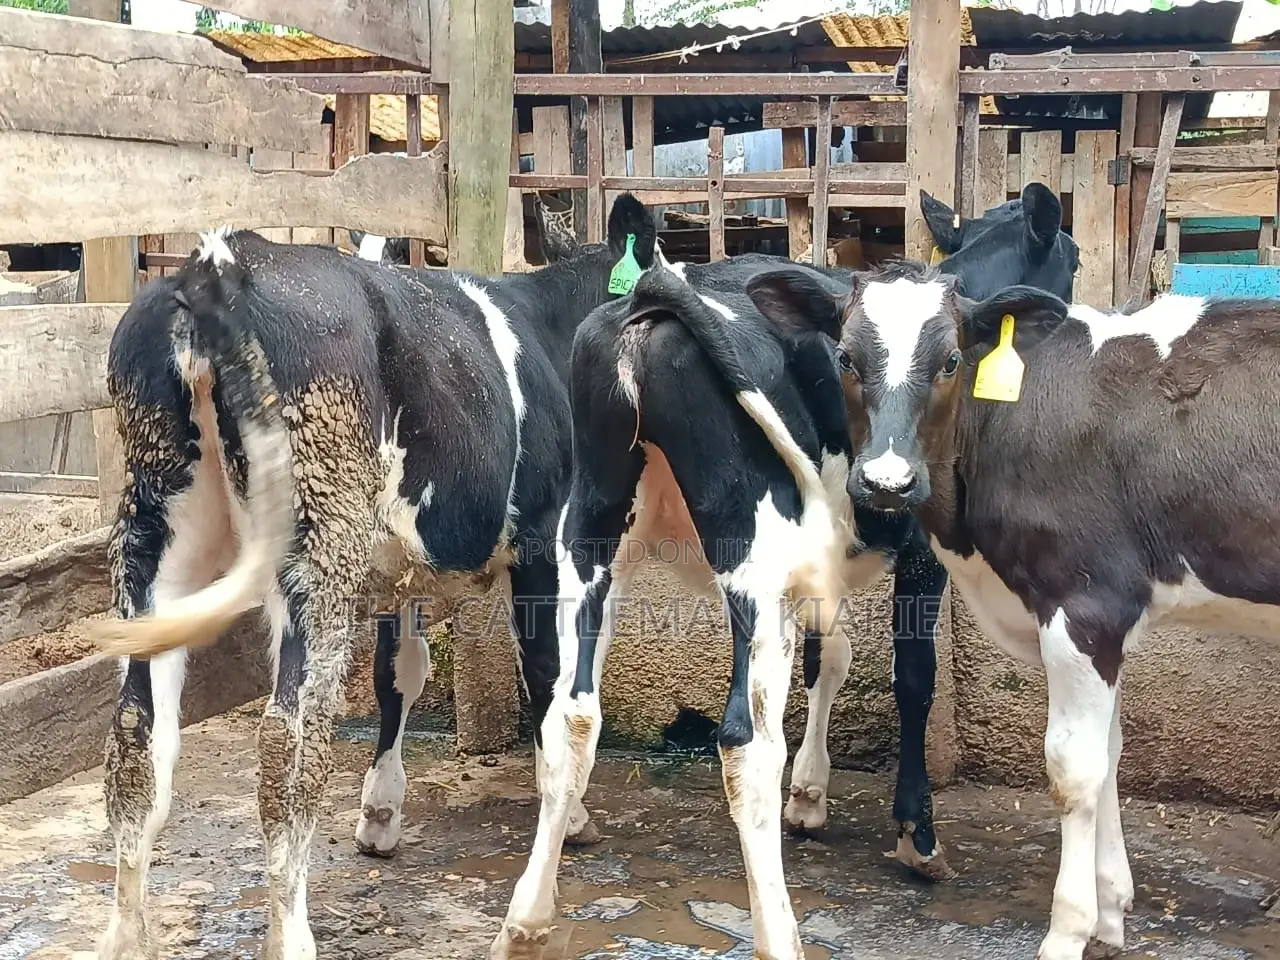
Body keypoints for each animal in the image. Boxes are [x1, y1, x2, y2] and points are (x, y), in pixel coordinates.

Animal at [89, 194, 663, 960]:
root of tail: (215, 264)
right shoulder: (545, 542)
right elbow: (547, 683)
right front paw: (568, 827)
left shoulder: (399, 574)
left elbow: (401, 675)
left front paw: (380, 812)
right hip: (317, 539)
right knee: (288, 735)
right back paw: (292, 934)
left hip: (155, 528)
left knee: (137, 728)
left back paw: (127, 934)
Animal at [491, 183, 1079, 959]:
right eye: (1074, 259)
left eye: (948, 358)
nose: (884, 483)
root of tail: (653, 292)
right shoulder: (921, 551)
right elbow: (911, 680)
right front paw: (917, 835)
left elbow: (830, 657)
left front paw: (809, 796)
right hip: (752, 559)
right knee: (745, 740)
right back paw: (778, 931)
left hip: (590, 531)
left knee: (571, 710)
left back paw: (527, 916)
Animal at [738, 260, 1280, 959]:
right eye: (845, 357)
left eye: (950, 360)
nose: (887, 483)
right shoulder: (1112, 617)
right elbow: (1109, 752)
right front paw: (1111, 914)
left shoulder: (1086, 603)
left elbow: (1074, 770)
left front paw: (1067, 930)